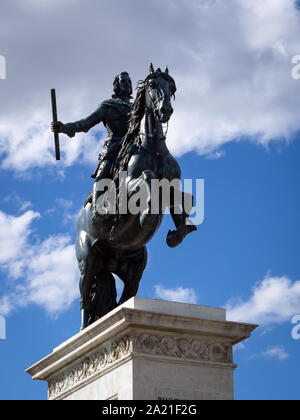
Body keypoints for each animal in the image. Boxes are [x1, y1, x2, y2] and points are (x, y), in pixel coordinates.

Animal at [75, 65, 197, 330]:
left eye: (171, 87)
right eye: (152, 85)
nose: (165, 110)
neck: (154, 149)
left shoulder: (174, 184)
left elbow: (181, 198)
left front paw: (179, 232)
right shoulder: (128, 189)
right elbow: (148, 178)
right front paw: (146, 217)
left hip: (133, 268)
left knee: (123, 299)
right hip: (88, 262)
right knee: (85, 298)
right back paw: (84, 328)